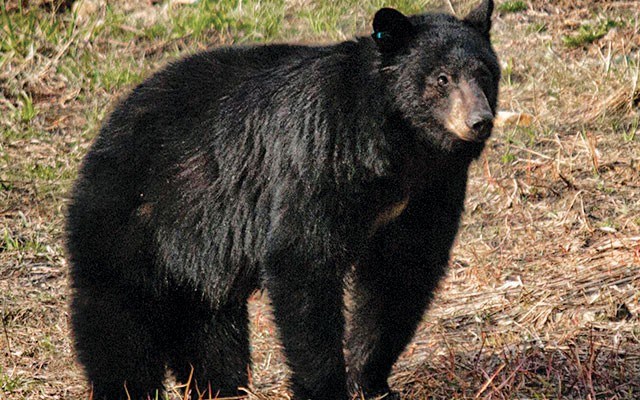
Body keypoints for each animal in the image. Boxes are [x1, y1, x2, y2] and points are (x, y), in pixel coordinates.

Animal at [67, 1, 500, 398]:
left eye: (485, 73)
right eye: (442, 78)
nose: (479, 121)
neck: (401, 145)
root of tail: (105, 130)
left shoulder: (428, 190)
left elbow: (402, 272)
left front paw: (371, 380)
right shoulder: (320, 156)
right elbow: (303, 260)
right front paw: (326, 387)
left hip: (199, 261)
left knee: (212, 334)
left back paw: (223, 389)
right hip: (132, 219)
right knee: (118, 326)